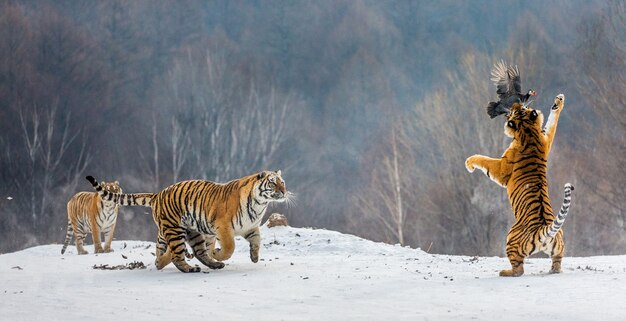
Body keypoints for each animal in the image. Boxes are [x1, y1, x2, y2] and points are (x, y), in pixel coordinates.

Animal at [84, 170, 288, 272]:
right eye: (273, 183)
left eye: (282, 182)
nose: (284, 191)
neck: (259, 205)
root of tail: (158, 194)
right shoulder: (222, 227)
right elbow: (230, 247)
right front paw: (219, 253)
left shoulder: (250, 227)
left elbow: (257, 242)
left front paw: (254, 257)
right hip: (175, 230)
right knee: (177, 255)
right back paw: (188, 268)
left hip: (192, 231)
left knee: (196, 252)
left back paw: (209, 264)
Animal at [460, 93, 572, 276]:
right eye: (522, 108)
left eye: (518, 109)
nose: (514, 104)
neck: (528, 131)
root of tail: (543, 231)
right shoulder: (547, 139)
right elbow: (551, 122)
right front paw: (558, 101)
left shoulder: (501, 168)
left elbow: (485, 160)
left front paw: (469, 163)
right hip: (559, 245)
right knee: (557, 260)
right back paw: (554, 270)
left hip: (510, 238)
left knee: (519, 269)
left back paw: (505, 272)